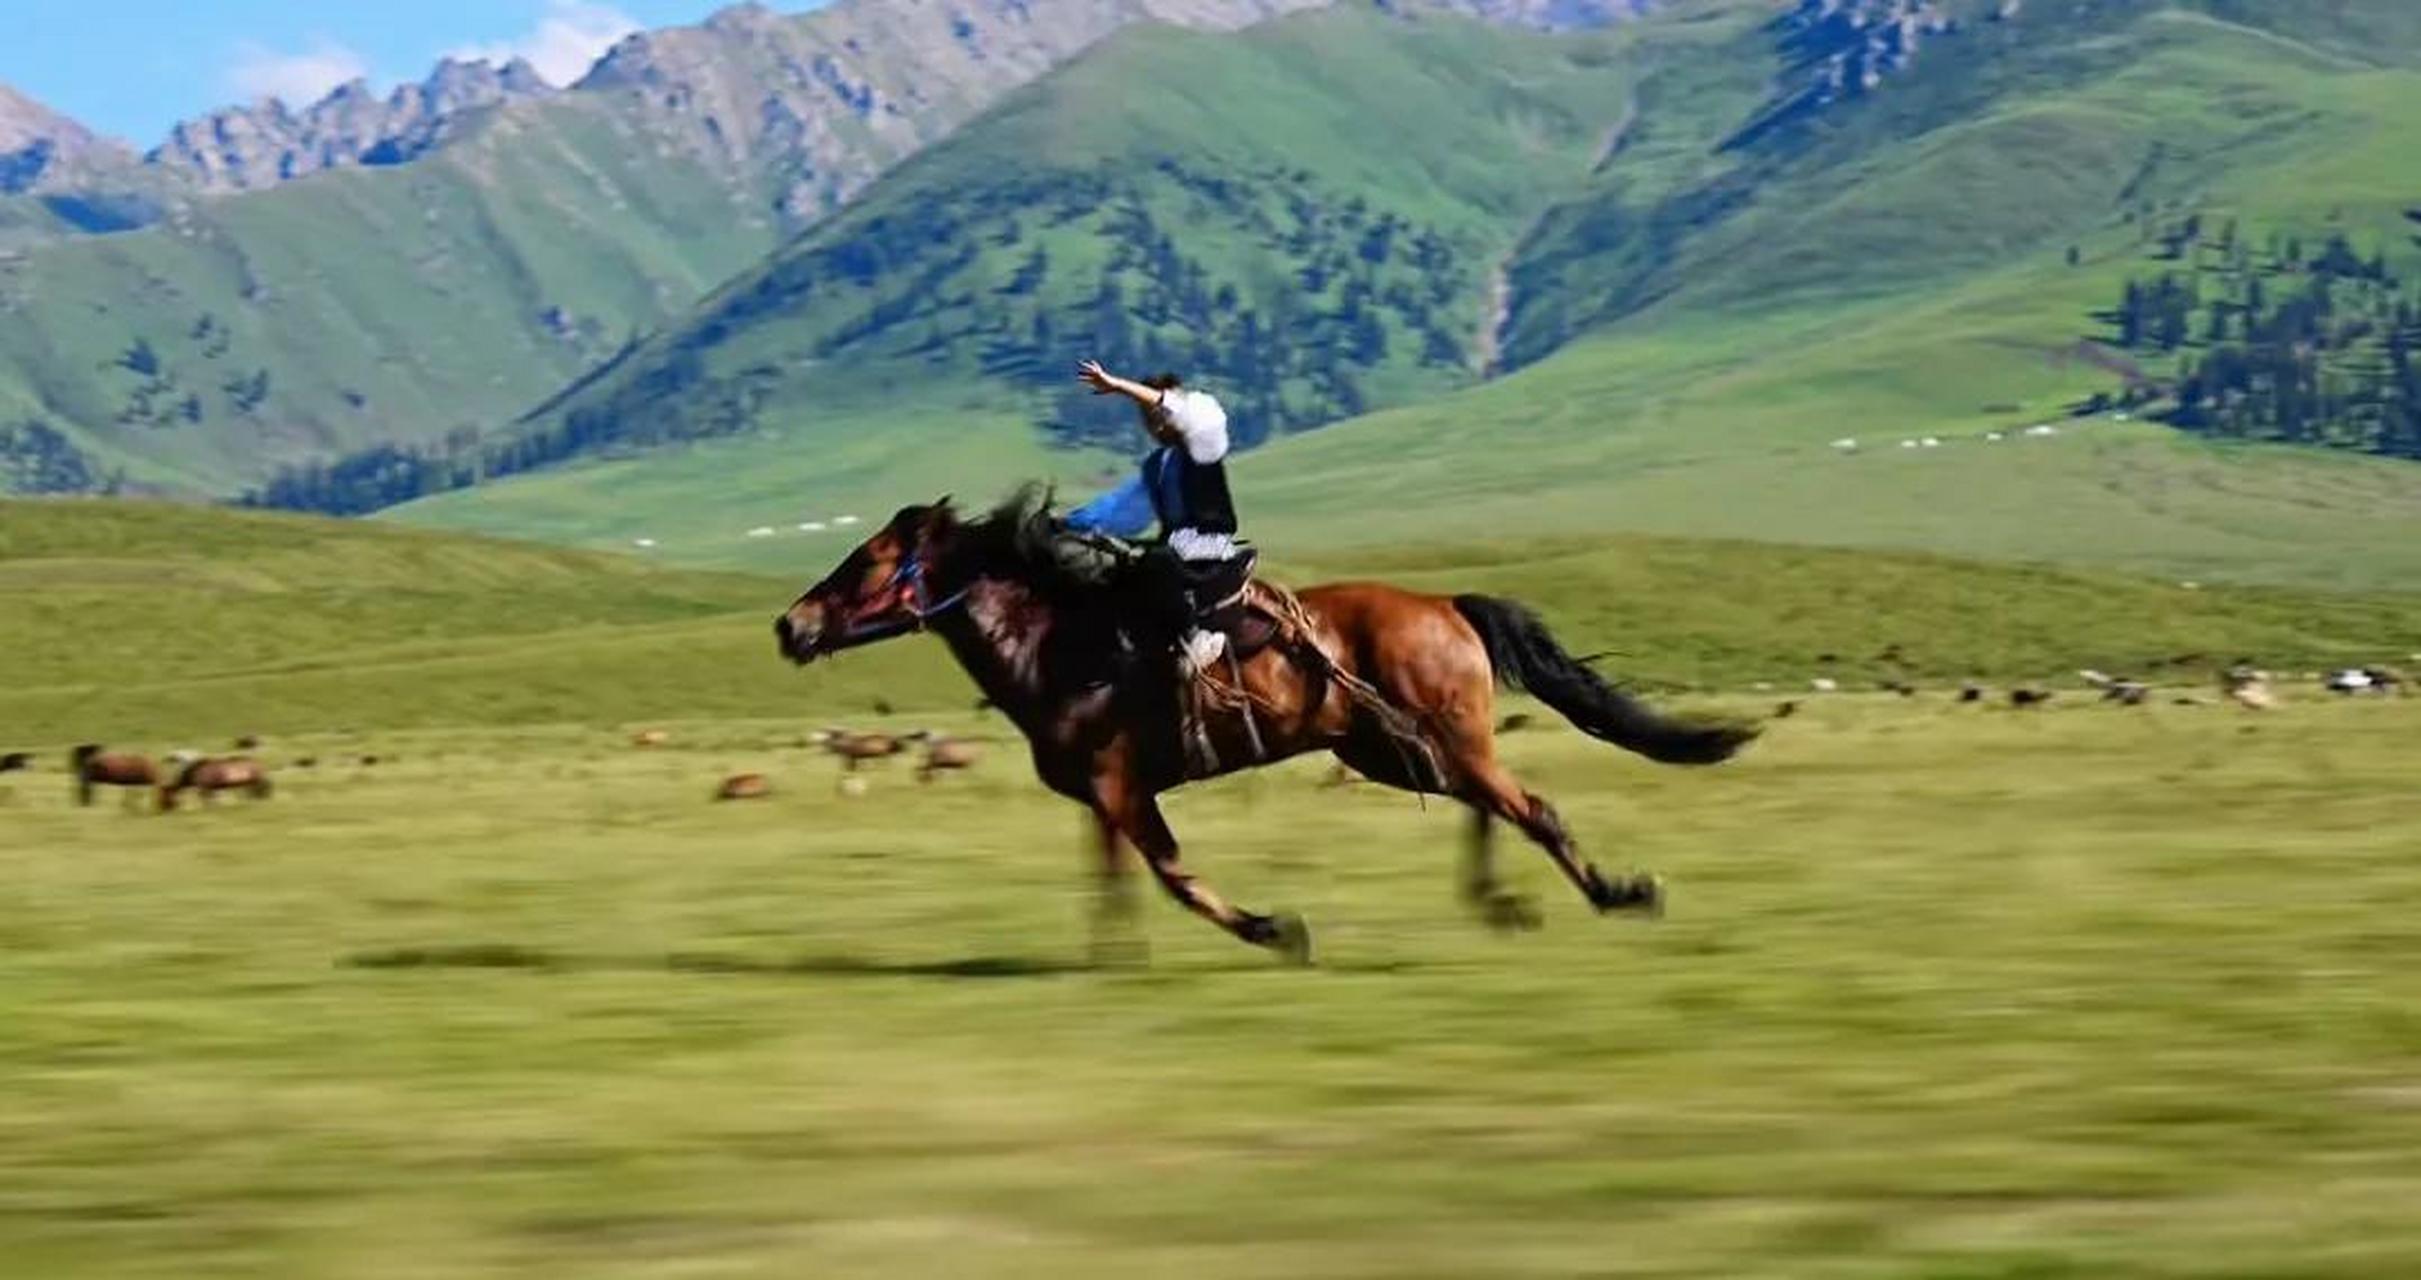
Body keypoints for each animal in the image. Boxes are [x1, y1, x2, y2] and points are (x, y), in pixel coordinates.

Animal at [784, 493, 1752, 963]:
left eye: (867, 562)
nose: (789, 627)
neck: (1059, 645)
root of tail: (1449, 607)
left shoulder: (1117, 785)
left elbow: (1171, 876)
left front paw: (1273, 930)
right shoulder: (1101, 795)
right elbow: (1119, 880)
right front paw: (1114, 958)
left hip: (1435, 742)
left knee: (1532, 809)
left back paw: (1618, 894)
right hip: (1396, 750)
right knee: (1494, 806)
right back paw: (1503, 903)